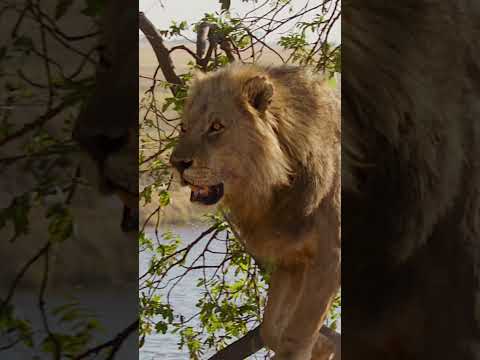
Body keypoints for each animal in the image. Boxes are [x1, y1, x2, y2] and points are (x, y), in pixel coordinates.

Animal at [169, 63, 342, 358]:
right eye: (184, 127)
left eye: (216, 127)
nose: (177, 163)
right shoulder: (292, 258)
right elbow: (271, 328)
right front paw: (324, 346)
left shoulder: (330, 257)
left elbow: (296, 335)